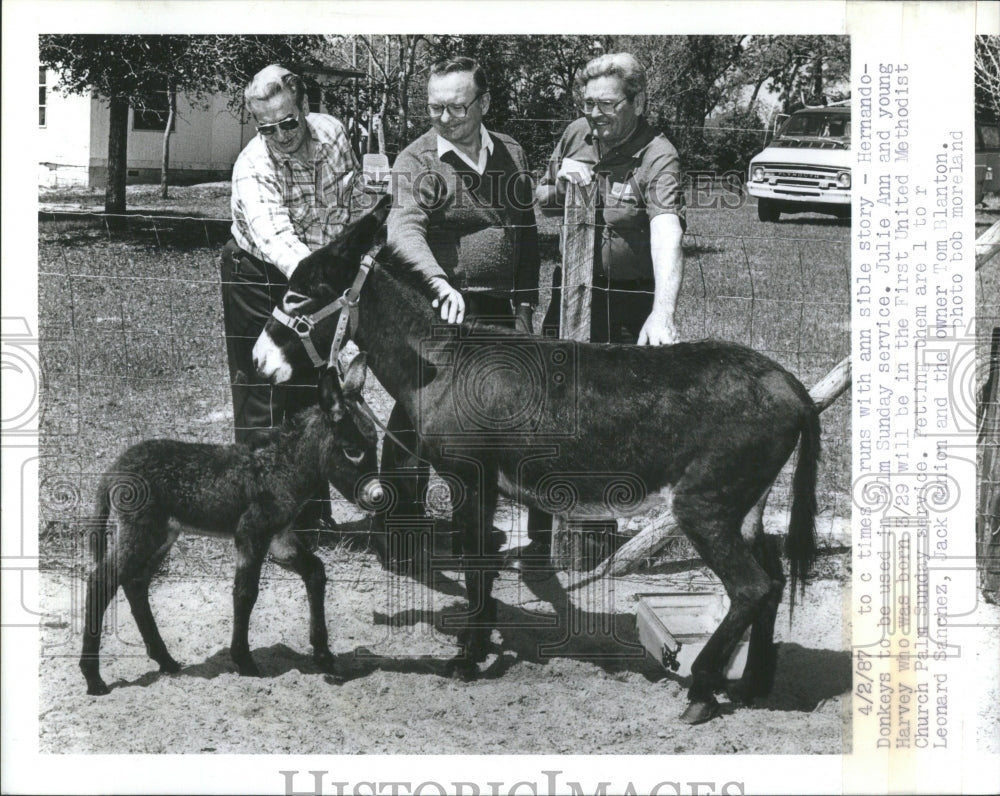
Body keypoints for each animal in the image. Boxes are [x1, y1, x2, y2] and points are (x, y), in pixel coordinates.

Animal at [79, 358, 378, 692]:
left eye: (375, 444)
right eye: (353, 450)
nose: (377, 496)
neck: (279, 469)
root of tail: (115, 469)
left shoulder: (279, 537)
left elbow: (315, 572)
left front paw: (324, 655)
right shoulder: (251, 533)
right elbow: (245, 593)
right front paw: (244, 661)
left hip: (162, 534)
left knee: (134, 584)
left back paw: (165, 661)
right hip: (142, 532)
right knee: (101, 581)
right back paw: (94, 678)